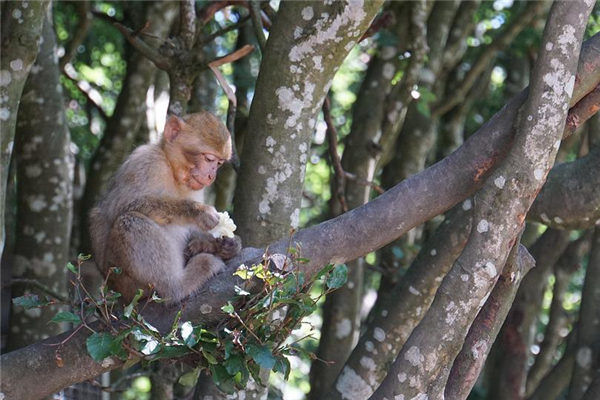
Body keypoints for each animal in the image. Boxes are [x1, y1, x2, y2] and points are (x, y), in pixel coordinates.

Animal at [88, 111, 241, 304]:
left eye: (219, 163)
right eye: (209, 159)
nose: (211, 175)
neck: (172, 169)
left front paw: (222, 244)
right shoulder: (145, 163)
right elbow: (120, 206)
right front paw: (198, 211)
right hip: (125, 280)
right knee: (130, 220)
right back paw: (177, 286)